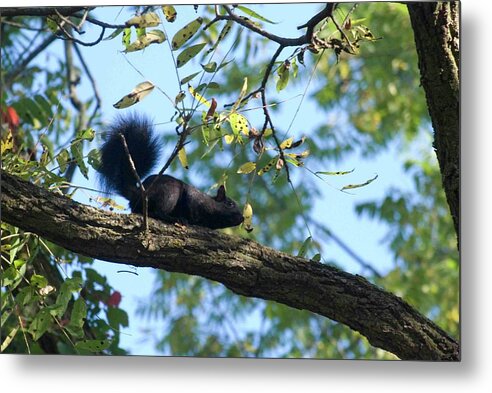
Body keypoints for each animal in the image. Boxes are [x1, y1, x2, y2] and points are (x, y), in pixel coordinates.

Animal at [98, 113, 244, 228]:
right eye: (230, 204)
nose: (242, 218)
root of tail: (138, 193)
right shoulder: (193, 197)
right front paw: (188, 219)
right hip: (169, 192)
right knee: (157, 211)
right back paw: (172, 218)